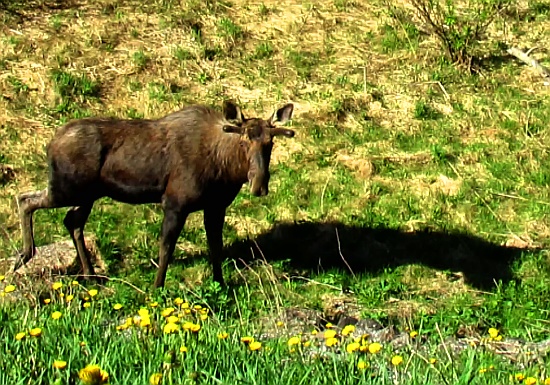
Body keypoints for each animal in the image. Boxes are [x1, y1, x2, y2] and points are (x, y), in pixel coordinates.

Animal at [14, 100, 298, 286]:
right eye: (244, 140)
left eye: (270, 142)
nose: (259, 184)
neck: (225, 170)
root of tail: (50, 143)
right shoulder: (175, 203)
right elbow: (166, 247)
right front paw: (157, 286)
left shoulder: (216, 206)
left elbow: (215, 246)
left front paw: (220, 283)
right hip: (67, 188)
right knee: (25, 199)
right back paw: (25, 256)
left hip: (86, 195)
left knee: (72, 221)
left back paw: (89, 274)